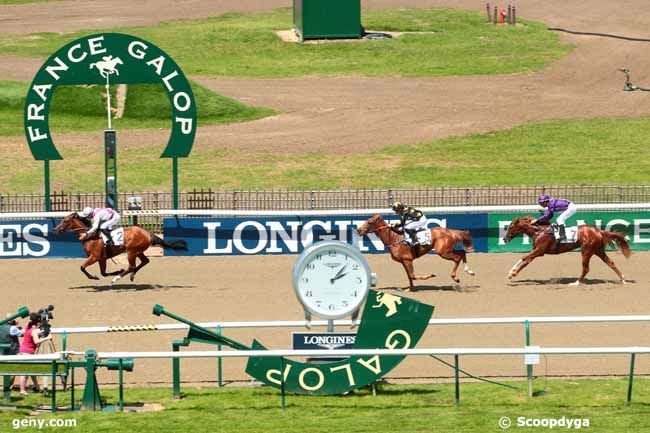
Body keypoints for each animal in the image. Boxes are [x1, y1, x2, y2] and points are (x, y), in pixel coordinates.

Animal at [53, 213, 187, 284]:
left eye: (65, 221)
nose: (55, 230)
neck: (90, 236)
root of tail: (148, 233)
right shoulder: (102, 258)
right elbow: (103, 273)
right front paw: (116, 271)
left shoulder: (95, 256)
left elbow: (82, 267)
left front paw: (94, 277)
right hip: (138, 251)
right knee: (145, 261)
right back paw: (131, 275)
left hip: (131, 251)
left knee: (132, 266)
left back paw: (118, 278)